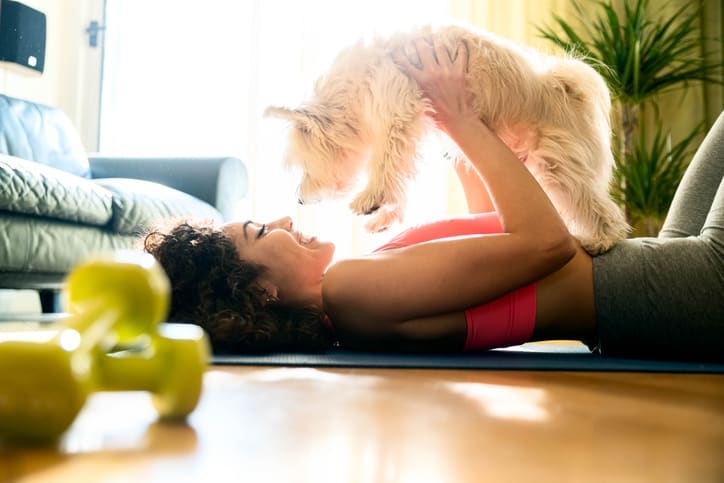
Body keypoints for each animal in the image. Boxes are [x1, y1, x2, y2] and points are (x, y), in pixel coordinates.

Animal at [264, 24, 628, 255]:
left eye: (303, 166)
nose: (298, 200)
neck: (354, 87)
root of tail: (562, 86)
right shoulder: (412, 124)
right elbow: (400, 177)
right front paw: (384, 216)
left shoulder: (397, 111)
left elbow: (386, 163)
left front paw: (371, 198)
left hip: (559, 166)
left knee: (600, 207)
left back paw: (602, 241)